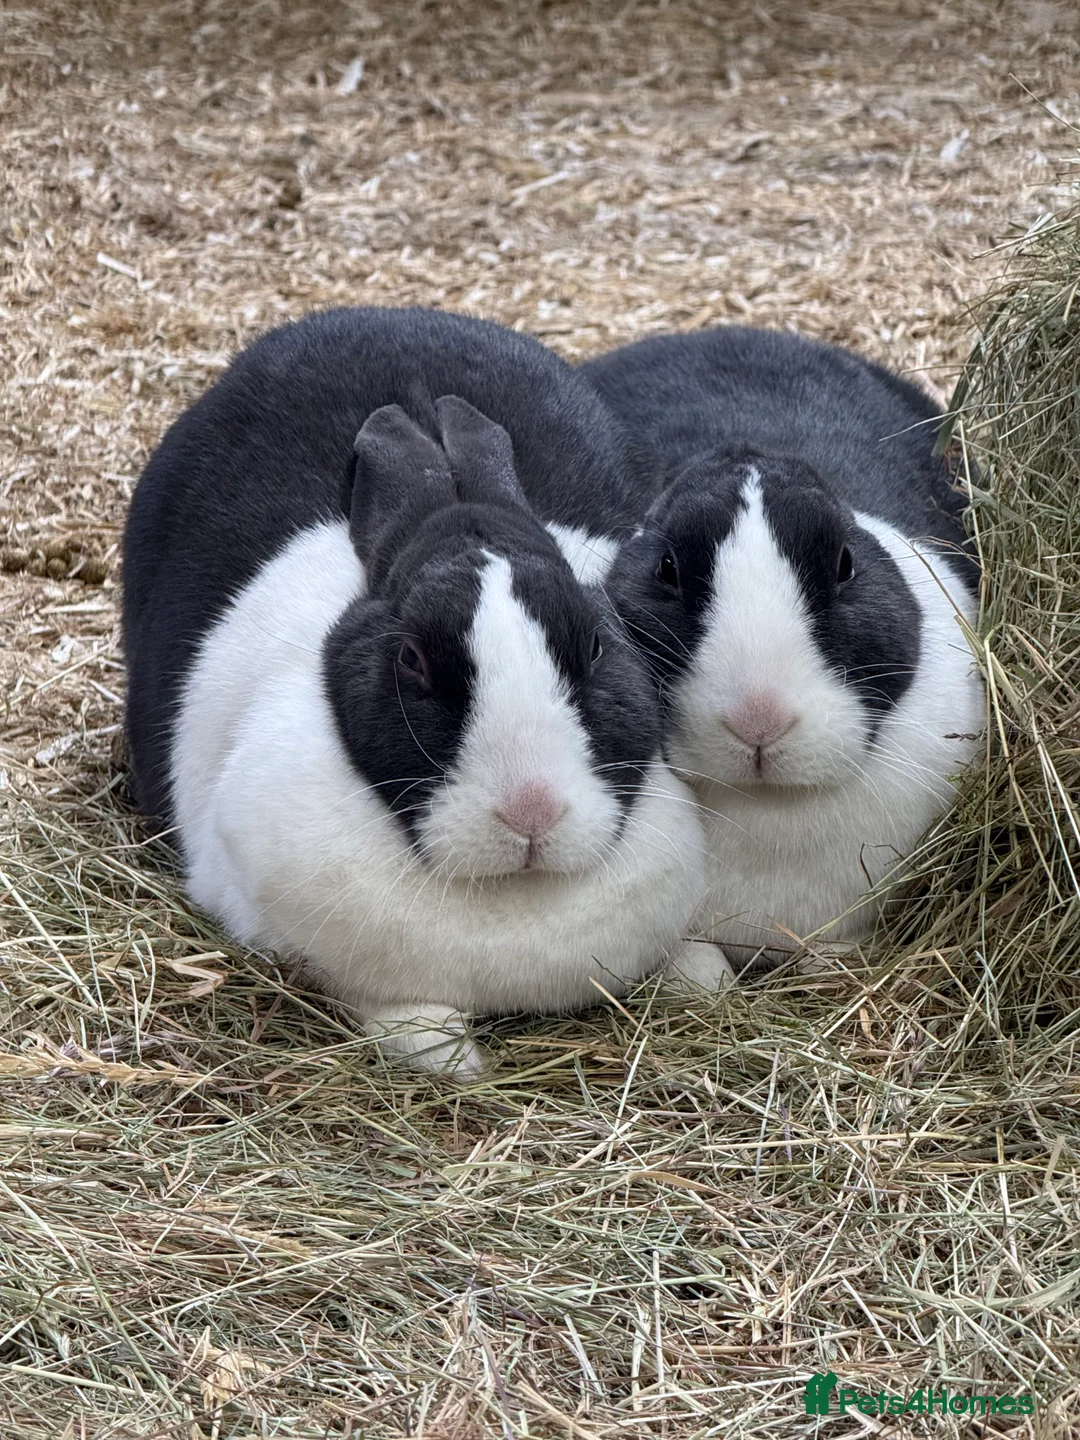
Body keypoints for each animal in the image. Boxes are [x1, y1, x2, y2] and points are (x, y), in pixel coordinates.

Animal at [123, 307, 719, 1077]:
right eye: (411, 660)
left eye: (593, 645)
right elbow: (401, 1018)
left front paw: (703, 976)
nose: (532, 812)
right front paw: (449, 1054)